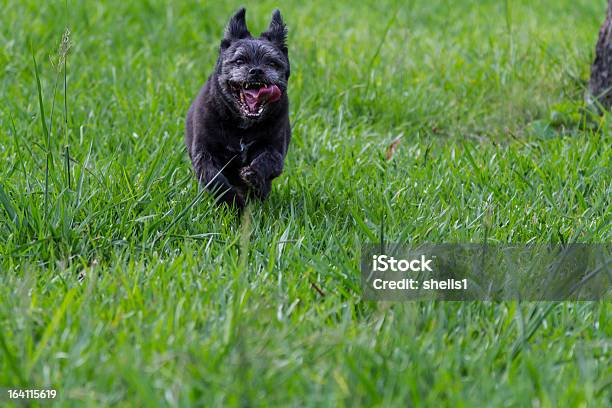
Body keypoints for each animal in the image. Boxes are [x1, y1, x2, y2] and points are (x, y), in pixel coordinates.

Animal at [185, 7, 290, 209]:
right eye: (240, 61)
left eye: (272, 63)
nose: (256, 70)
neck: (242, 127)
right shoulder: (204, 153)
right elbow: (215, 179)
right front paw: (232, 202)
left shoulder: (274, 148)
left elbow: (268, 160)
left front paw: (253, 175)